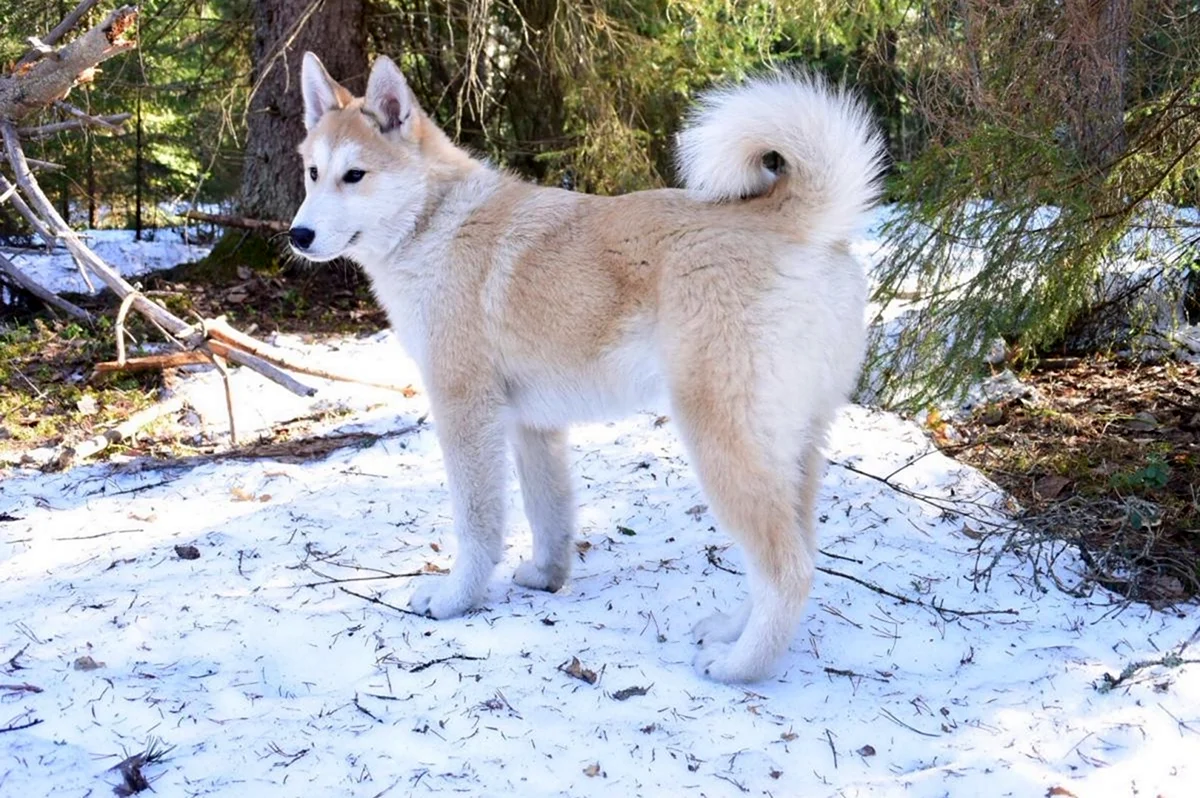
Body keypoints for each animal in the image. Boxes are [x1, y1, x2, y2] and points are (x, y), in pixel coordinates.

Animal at [295, 52, 888, 681]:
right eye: (312, 173)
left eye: (354, 176)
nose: (297, 235)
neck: (434, 224)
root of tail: (798, 221)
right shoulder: (532, 426)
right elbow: (549, 513)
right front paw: (545, 578)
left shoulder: (465, 411)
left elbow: (478, 524)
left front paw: (457, 599)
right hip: (792, 450)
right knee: (798, 554)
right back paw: (730, 632)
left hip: (721, 442)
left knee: (787, 570)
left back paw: (738, 665)